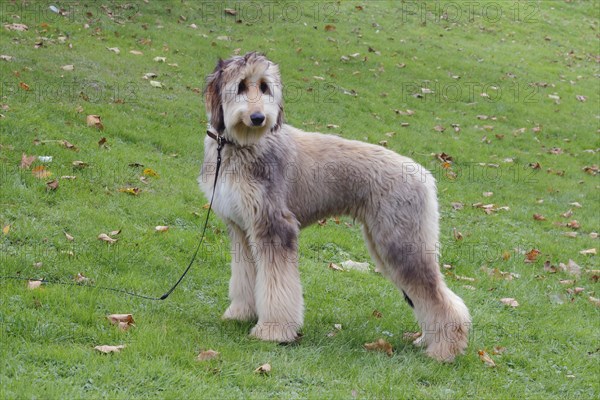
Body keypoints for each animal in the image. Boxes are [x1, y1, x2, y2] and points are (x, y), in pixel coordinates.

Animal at [199, 51, 472, 360]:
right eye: (242, 85)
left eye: (265, 86)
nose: (259, 118)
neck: (240, 147)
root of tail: (423, 175)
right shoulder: (241, 229)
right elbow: (244, 277)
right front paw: (240, 314)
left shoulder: (275, 227)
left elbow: (277, 285)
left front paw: (273, 330)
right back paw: (429, 340)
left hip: (402, 245)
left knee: (438, 296)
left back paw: (445, 349)